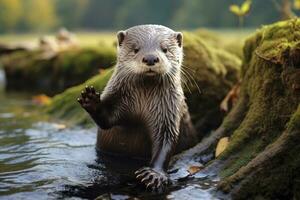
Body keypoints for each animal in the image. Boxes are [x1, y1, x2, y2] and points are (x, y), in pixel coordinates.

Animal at [78, 25, 198, 191]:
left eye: (165, 49)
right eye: (135, 49)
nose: (150, 58)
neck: (143, 100)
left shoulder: (168, 113)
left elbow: (166, 142)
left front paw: (154, 175)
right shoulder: (118, 98)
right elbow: (106, 121)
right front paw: (90, 100)